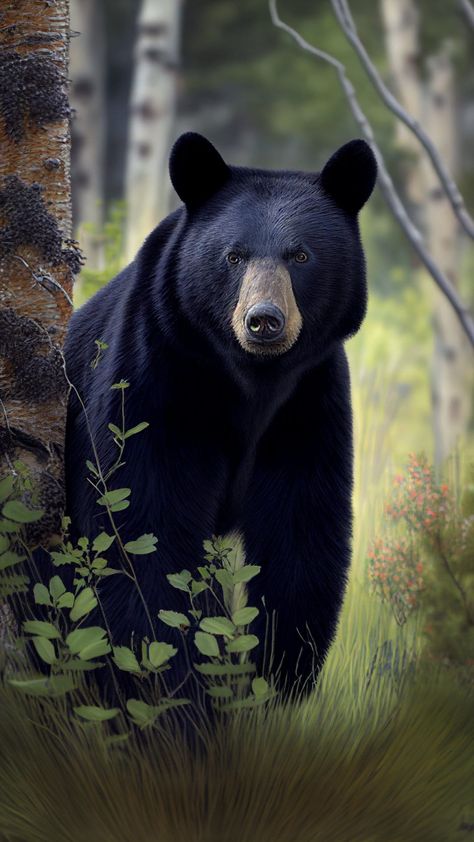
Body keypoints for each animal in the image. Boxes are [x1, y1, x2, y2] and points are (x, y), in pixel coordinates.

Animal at [64, 131, 378, 696]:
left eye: (301, 254)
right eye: (233, 256)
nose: (264, 320)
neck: (249, 383)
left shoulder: (309, 403)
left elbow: (301, 535)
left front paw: (276, 680)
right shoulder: (152, 381)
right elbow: (143, 527)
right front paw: (176, 689)